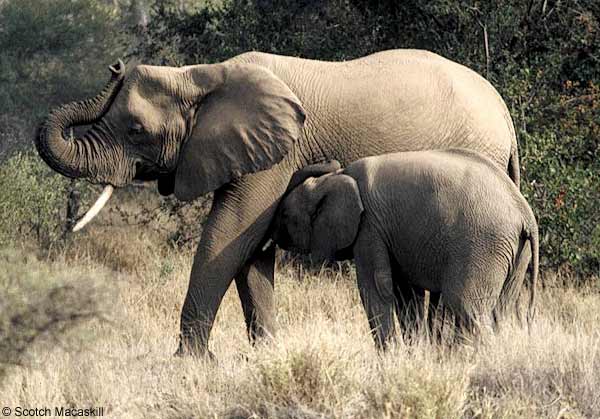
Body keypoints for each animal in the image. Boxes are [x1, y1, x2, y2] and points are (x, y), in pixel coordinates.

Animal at [272, 149, 540, 350]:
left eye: (284, 215)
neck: (338, 178)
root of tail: (525, 213)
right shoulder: (391, 233)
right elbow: (406, 295)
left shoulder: (370, 227)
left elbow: (375, 287)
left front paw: (390, 358)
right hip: (515, 251)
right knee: (499, 312)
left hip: (484, 245)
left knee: (466, 307)